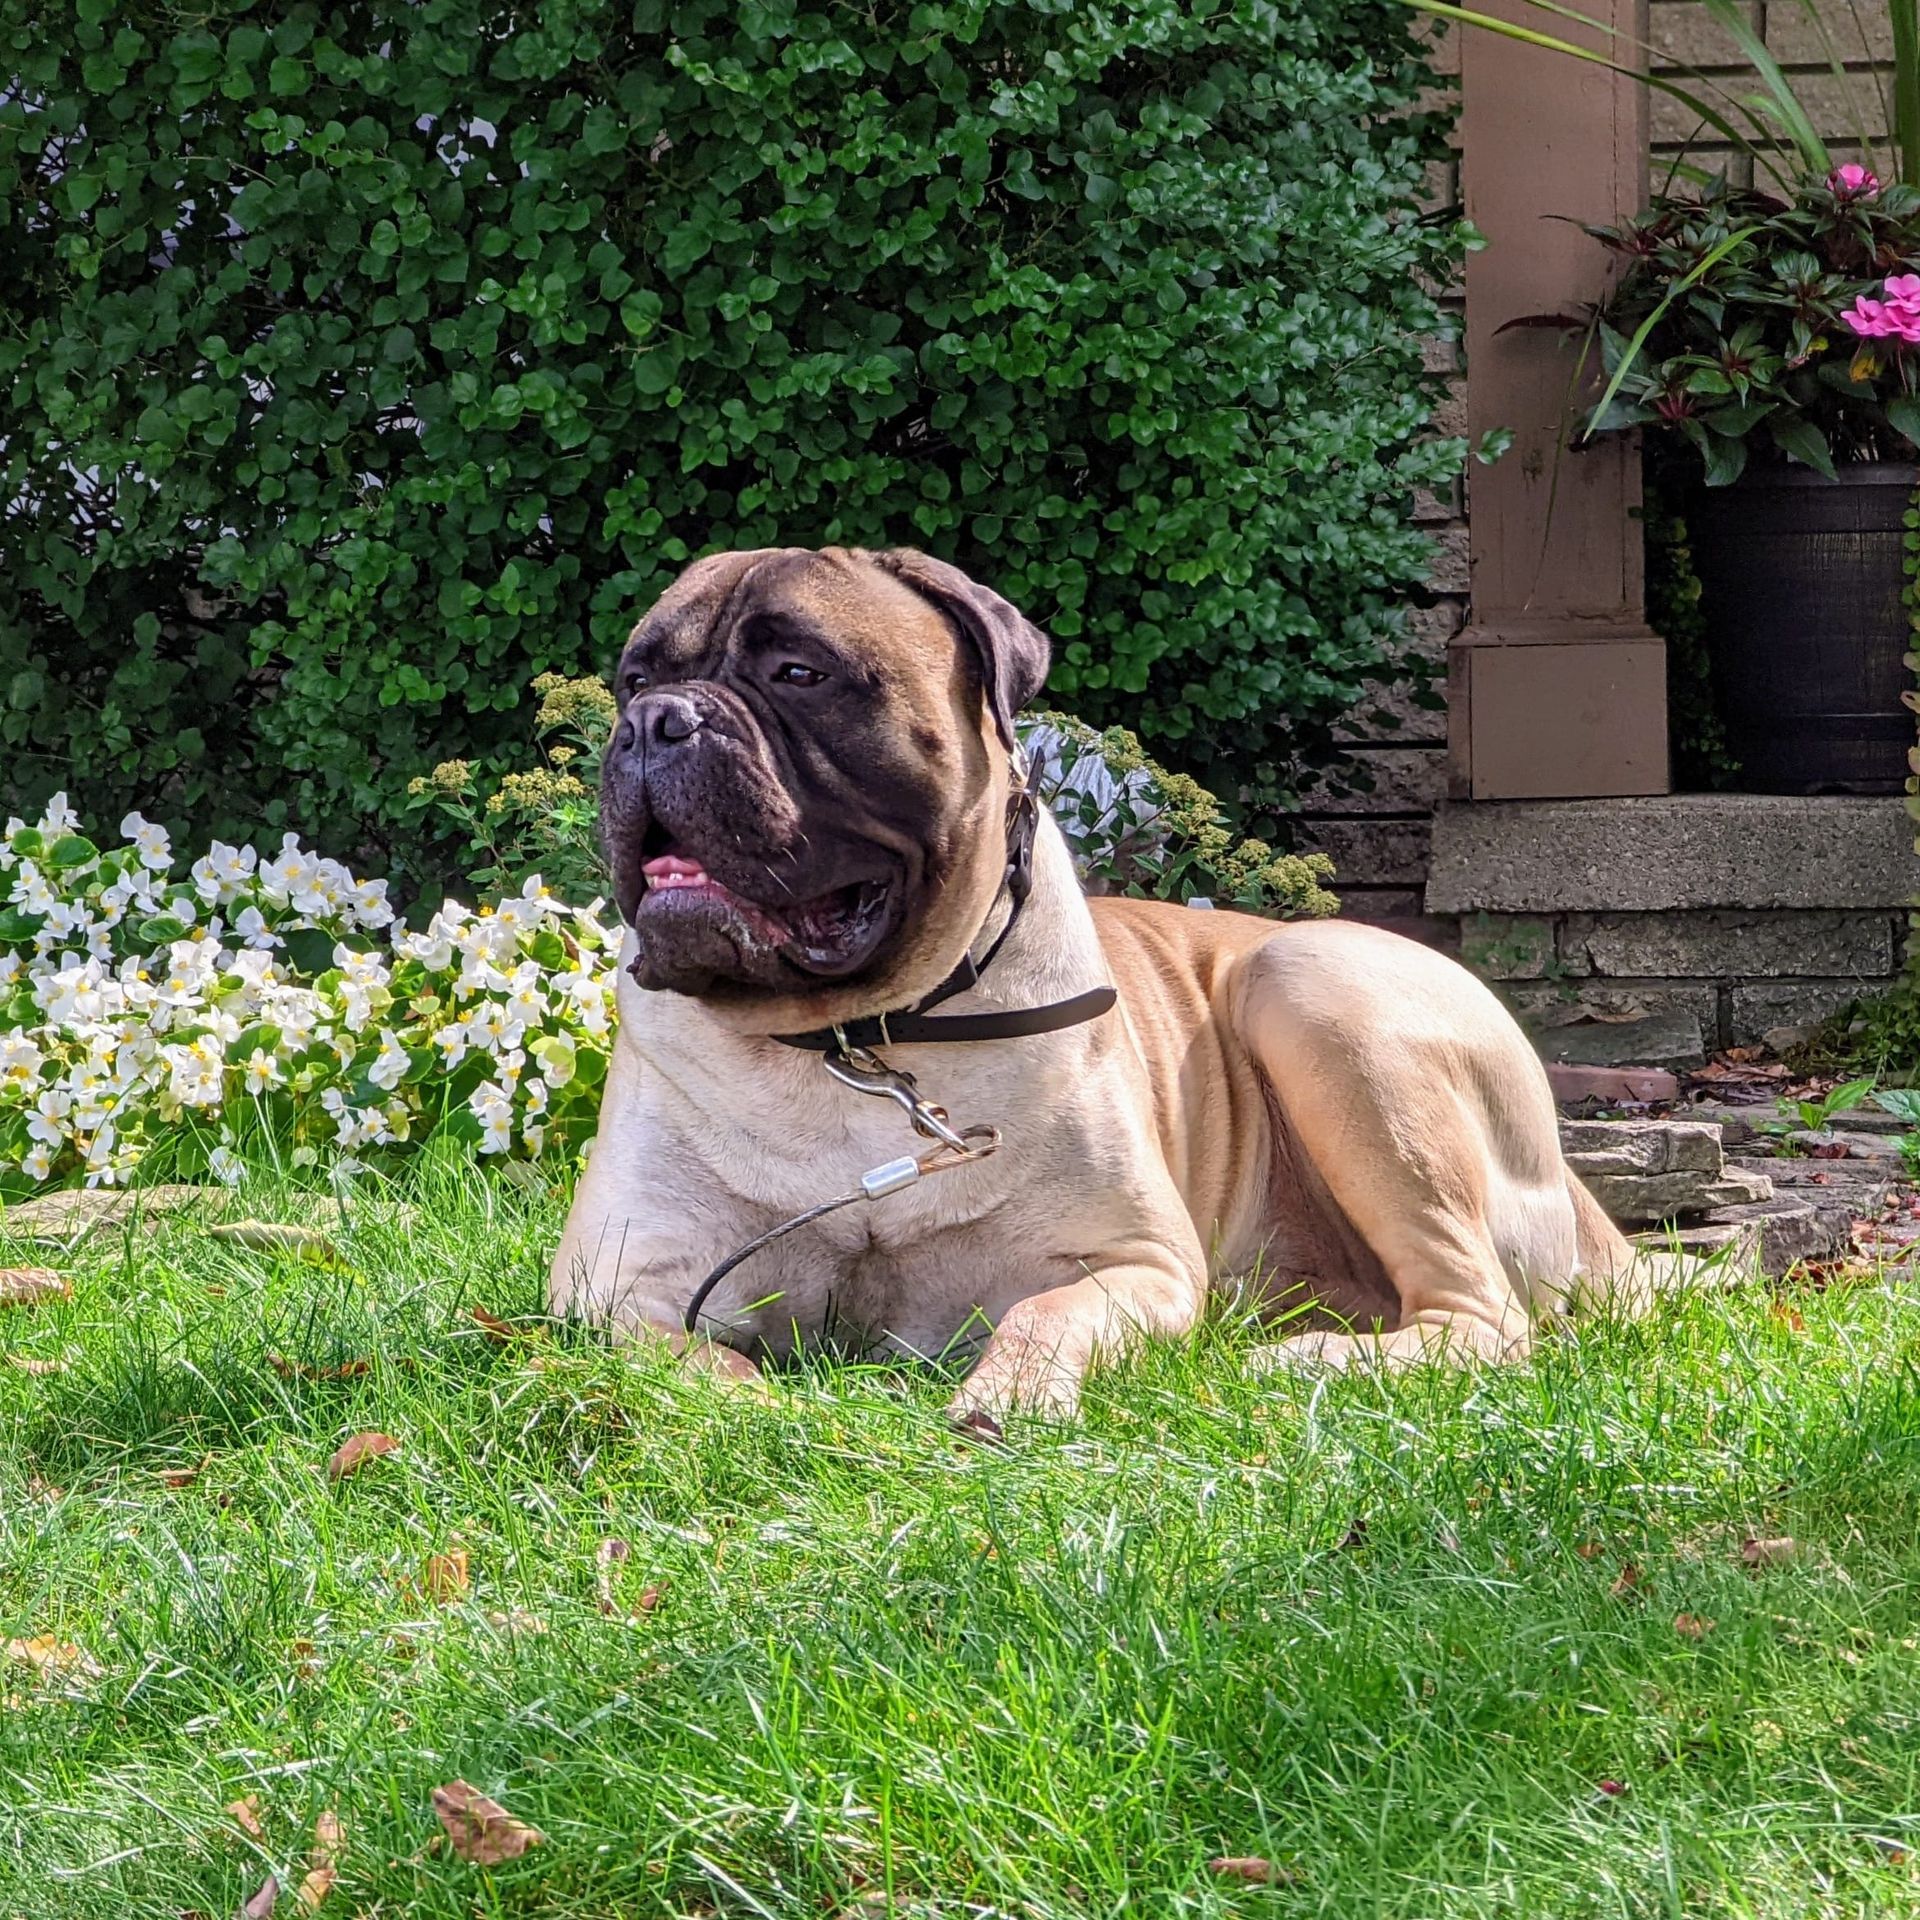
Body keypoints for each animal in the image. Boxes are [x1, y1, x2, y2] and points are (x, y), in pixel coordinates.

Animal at [552, 549, 1651, 1420]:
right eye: (636, 676)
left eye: (799, 671)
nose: (652, 722)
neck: (860, 1041)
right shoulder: (612, 1288)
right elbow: (695, 1367)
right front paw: (758, 1414)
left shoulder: (1137, 1262)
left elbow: (1047, 1311)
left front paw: (1009, 1396)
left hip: (1312, 984)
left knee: (1487, 1319)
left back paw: (1304, 1361)